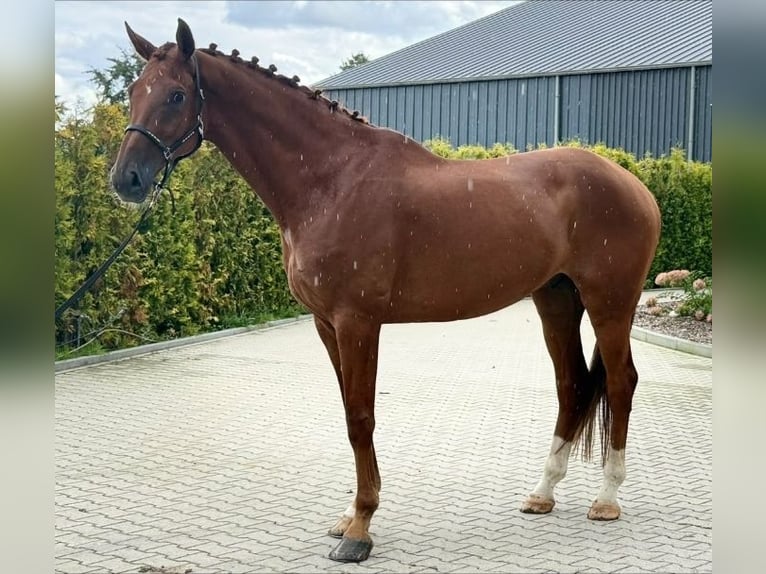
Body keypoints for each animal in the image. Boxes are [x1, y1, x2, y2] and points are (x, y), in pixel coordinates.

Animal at [110, 19, 661, 563]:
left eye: (177, 95)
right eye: (135, 91)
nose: (126, 179)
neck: (332, 179)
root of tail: (637, 187)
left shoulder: (357, 321)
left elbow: (360, 417)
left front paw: (360, 529)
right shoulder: (326, 324)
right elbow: (348, 414)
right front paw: (350, 517)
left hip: (610, 305)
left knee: (621, 383)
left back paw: (607, 499)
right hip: (556, 300)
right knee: (571, 386)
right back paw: (543, 493)